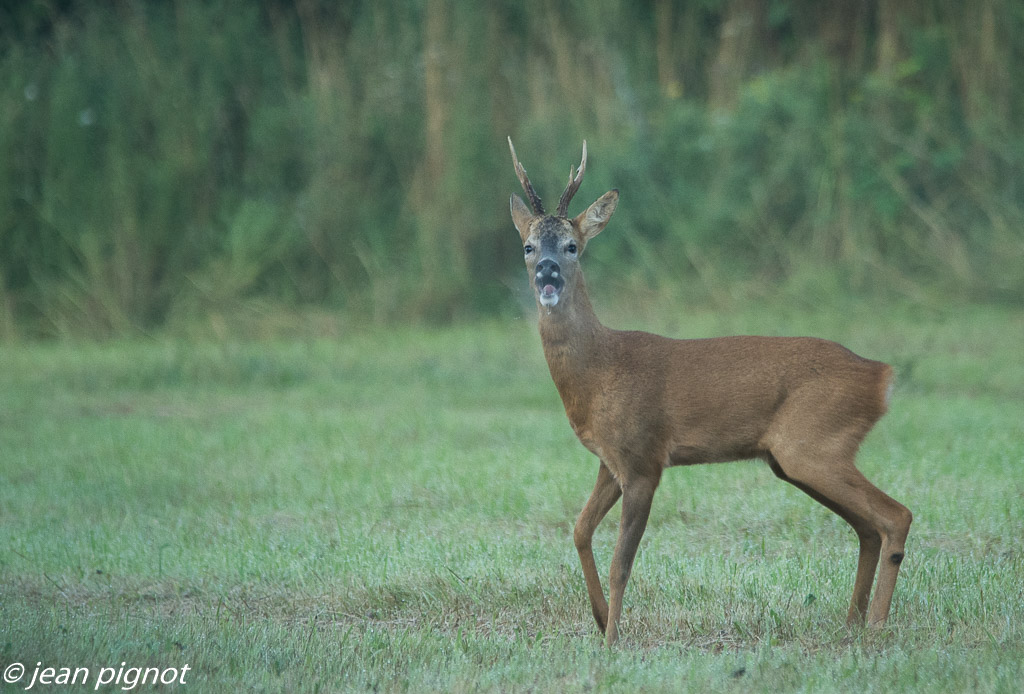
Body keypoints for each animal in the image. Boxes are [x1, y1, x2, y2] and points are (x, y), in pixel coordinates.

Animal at [507, 138, 917, 651]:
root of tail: (881, 376)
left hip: (812, 443)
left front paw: (612, 640)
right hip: (796, 458)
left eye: (571, 246)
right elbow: (579, 531)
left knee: (895, 515)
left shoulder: (644, 459)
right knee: (867, 527)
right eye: (527, 245)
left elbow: (623, 562)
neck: (600, 369)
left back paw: (876, 626)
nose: (548, 274)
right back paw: (851, 622)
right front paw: (600, 621)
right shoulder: (610, 460)